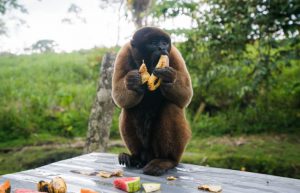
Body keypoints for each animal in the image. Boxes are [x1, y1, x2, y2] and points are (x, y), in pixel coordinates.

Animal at [112, 26, 192, 176]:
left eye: (164, 42)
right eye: (154, 43)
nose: (162, 48)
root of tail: (148, 156)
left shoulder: (174, 54)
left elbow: (186, 96)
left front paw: (168, 78)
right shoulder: (123, 53)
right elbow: (119, 98)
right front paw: (132, 82)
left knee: (171, 107)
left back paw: (166, 160)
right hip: (145, 150)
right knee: (129, 109)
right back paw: (134, 158)